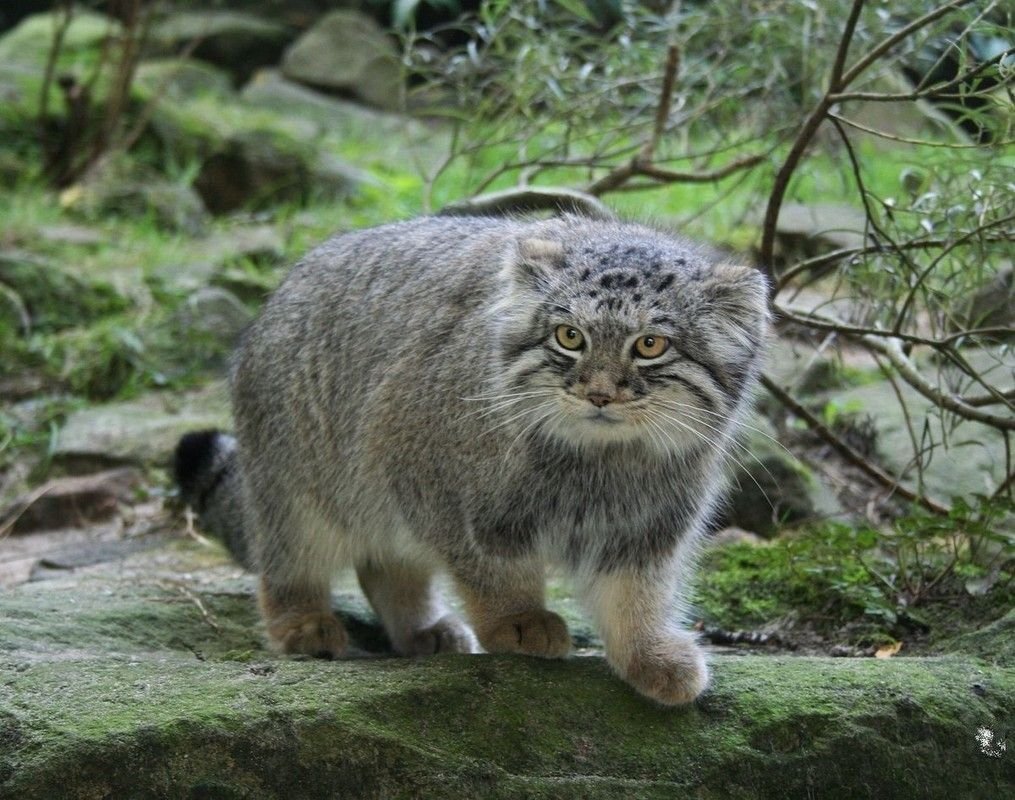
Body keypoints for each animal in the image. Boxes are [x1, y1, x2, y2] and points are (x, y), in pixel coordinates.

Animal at [174, 214, 763, 706]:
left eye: (649, 345)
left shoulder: (648, 525)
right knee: (290, 559)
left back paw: (420, 629)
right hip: (299, 483)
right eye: (569, 336)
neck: (598, 463)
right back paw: (303, 622)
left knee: (385, 565)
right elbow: (492, 567)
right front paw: (517, 619)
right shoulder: (435, 481)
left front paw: (648, 652)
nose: (598, 394)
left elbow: (636, 593)